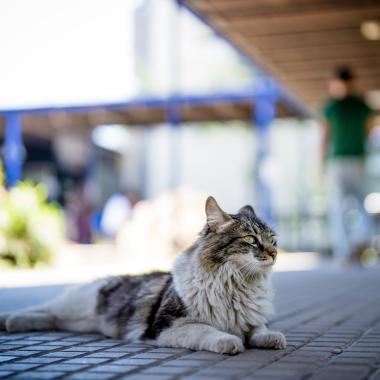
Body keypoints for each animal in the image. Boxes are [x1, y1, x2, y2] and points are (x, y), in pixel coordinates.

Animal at [0, 197, 284, 354]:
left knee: (50, 318)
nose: (274, 254)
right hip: (77, 304)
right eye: (251, 239)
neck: (237, 284)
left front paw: (272, 338)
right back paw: (10, 320)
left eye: (273, 240)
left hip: (77, 319)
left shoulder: (251, 321)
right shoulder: (167, 326)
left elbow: (259, 330)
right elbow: (207, 331)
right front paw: (229, 341)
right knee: (45, 307)